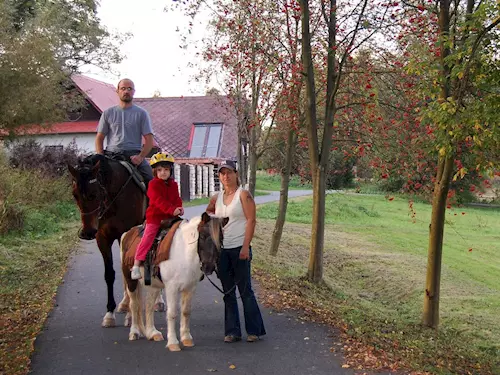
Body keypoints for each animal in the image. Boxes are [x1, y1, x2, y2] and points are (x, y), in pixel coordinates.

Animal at [67, 154, 145, 328]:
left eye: (94, 193)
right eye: (75, 195)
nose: (88, 232)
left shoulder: (126, 235)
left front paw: (130, 315)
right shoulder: (102, 238)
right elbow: (109, 274)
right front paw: (110, 313)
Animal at [121, 214, 227, 352]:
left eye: (221, 239)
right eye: (203, 236)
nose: (209, 267)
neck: (183, 253)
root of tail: (127, 234)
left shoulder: (190, 288)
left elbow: (186, 311)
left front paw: (186, 339)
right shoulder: (171, 288)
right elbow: (172, 313)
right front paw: (173, 342)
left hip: (154, 286)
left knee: (149, 305)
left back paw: (152, 333)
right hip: (131, 282)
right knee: (134, 305)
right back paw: (134, 332)